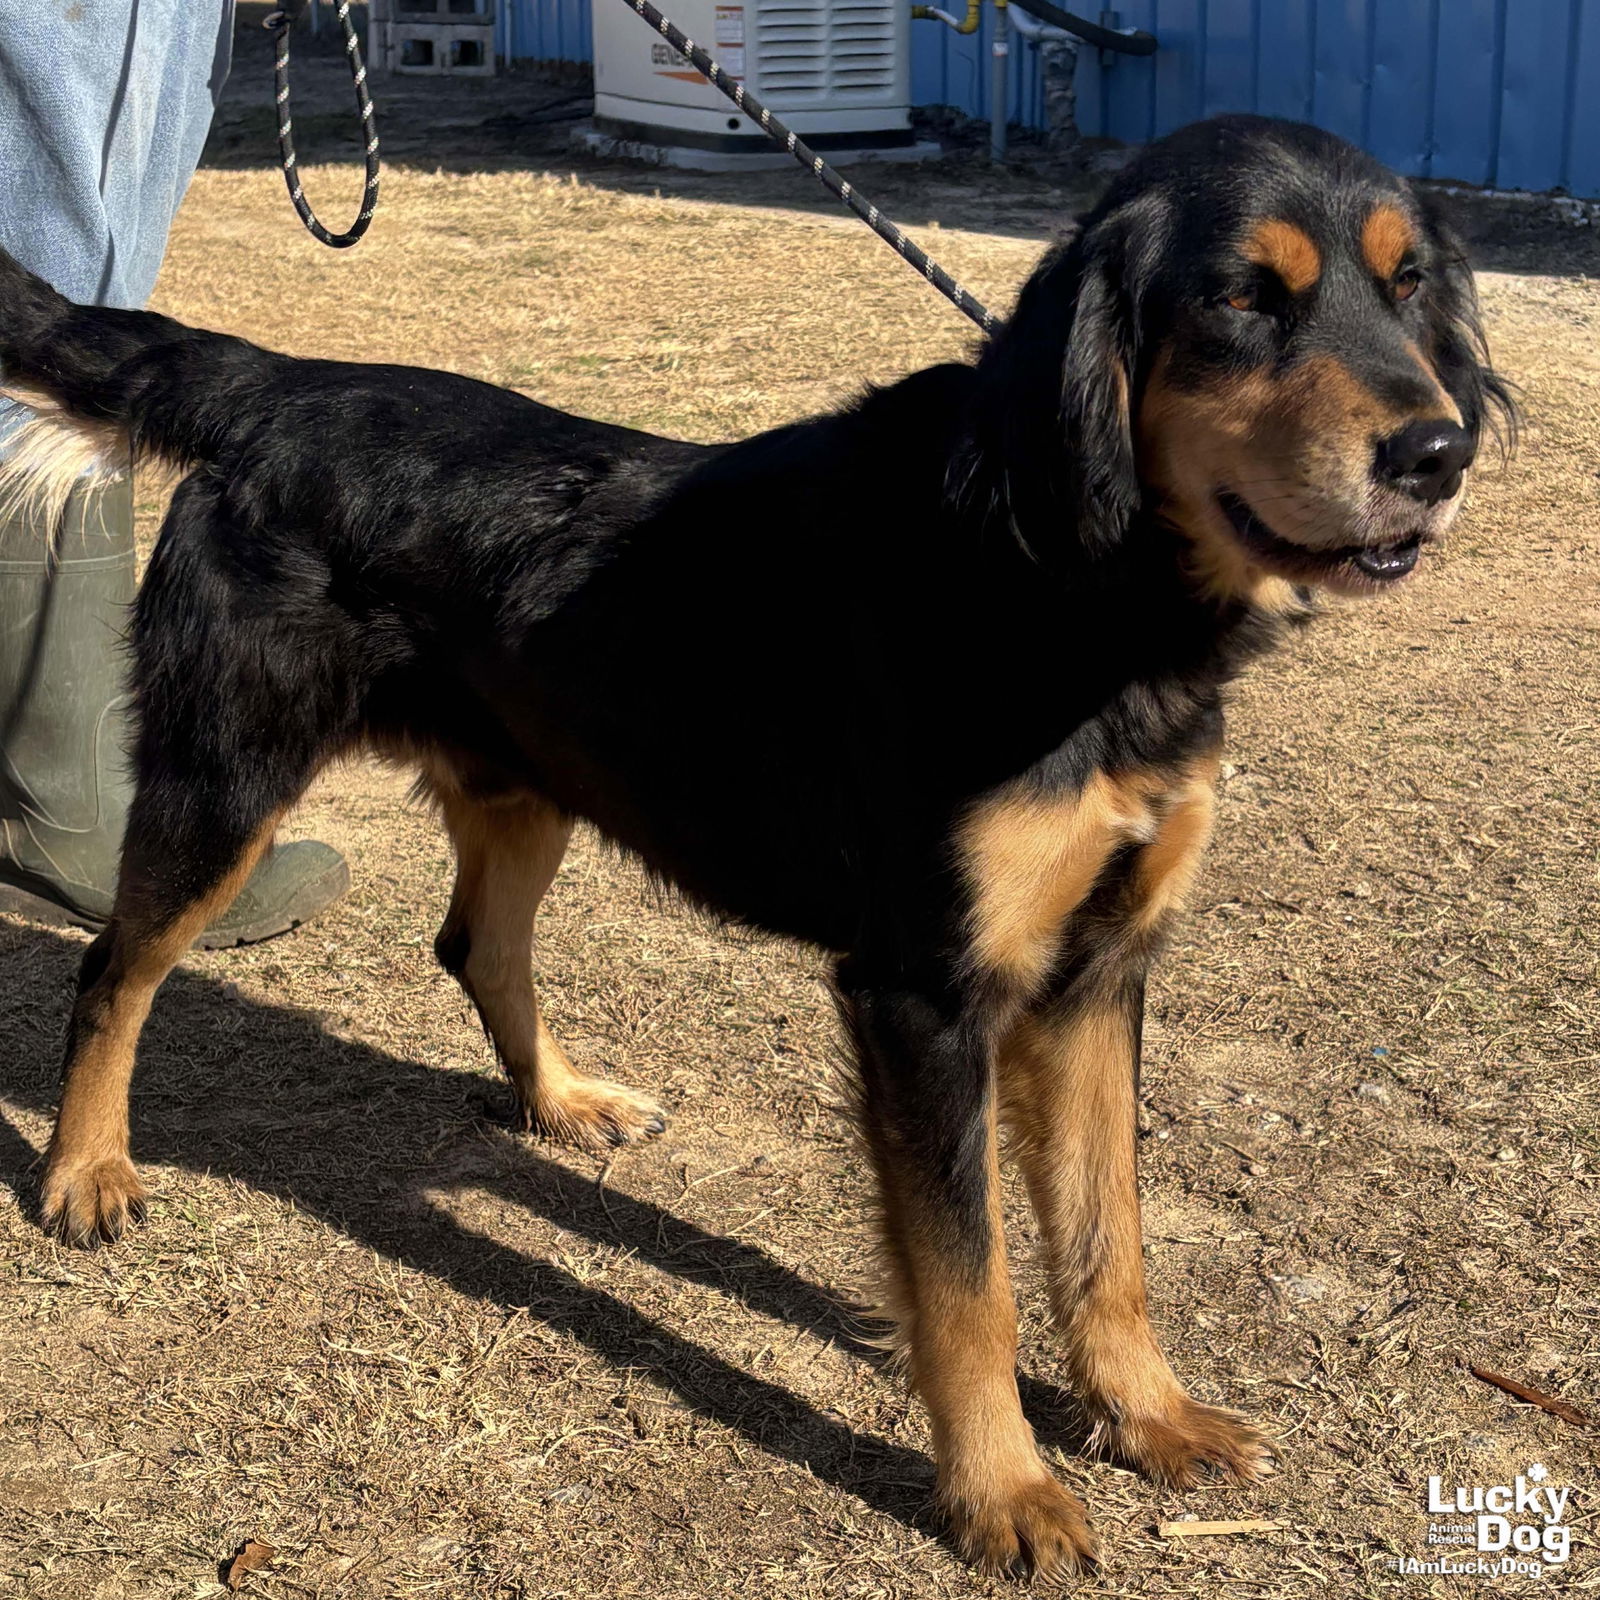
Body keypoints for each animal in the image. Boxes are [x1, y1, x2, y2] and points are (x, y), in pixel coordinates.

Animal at [6, 118, 1510, 1580]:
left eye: (1407, 285)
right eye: (1242, 299)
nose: (1438, 457)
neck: (1063, 576)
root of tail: (275, 390)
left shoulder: (1096, 974)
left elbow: (1108, 1234)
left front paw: (1147, 1416)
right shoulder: (922, 995)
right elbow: (969, 1283)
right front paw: (1003, 1489)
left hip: (529, 778)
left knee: (475, 944)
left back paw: (563, 1100)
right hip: (224, 781)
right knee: (114, 967)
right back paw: (85, 1173)